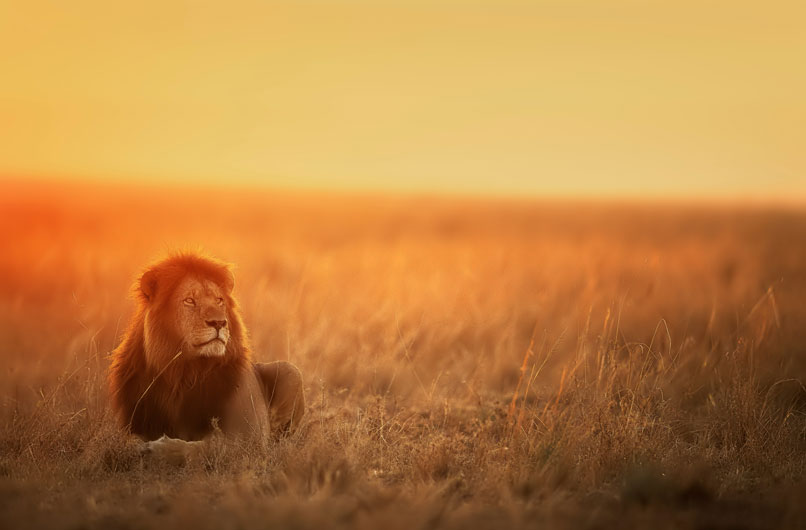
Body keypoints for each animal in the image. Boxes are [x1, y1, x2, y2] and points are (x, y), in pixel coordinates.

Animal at [108, 252, 304, 457]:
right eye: (189, 300)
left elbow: (206, 447)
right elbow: (126, 440)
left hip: (291, 371)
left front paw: (160, 449)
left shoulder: (248, 438)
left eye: (219, 300)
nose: (219, 322)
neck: (183, 372)